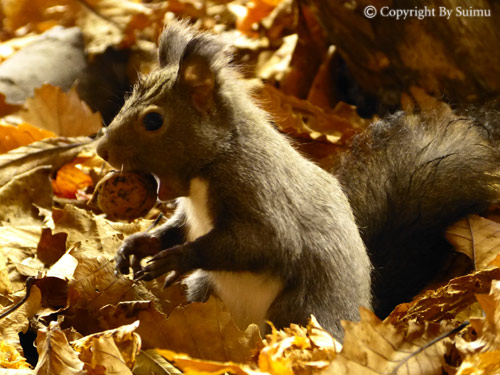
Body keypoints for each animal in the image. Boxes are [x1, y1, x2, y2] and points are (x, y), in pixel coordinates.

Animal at [94, 20, 500, 340]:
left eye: (153, 121)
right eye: (128, 96)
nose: (101, 149)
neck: (212, 164)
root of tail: (364, 314)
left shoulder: (258, 190)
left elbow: (263, 243)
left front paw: (175, 259)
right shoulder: (191, 211)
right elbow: (175, 228)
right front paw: (137, 245)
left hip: (299, 310)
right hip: (207, 292)